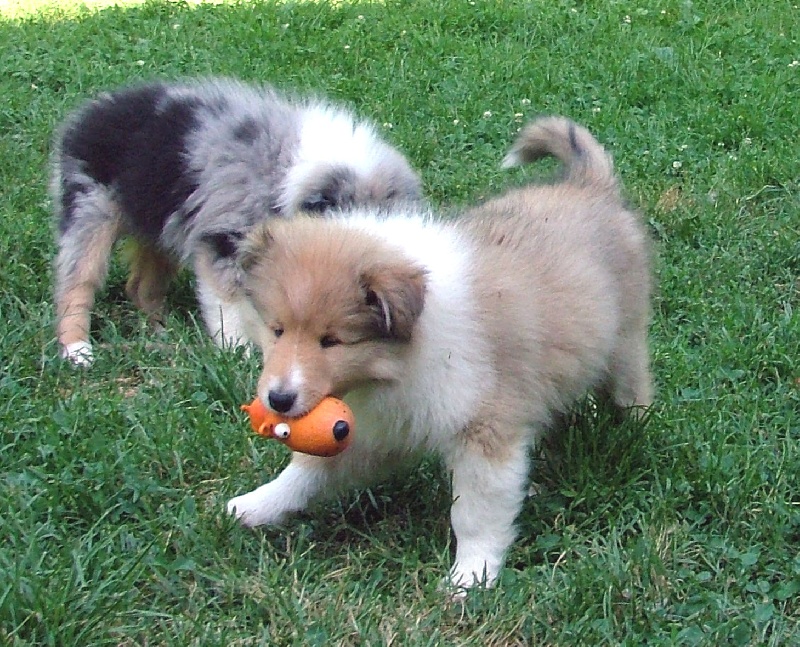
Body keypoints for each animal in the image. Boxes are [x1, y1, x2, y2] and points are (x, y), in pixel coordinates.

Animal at [50, 77, 422, 364]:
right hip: (90, 208)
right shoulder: (222, 243)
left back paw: (163, 332)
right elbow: (230, 306)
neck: (289, 175)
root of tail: (84, 115)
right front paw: (239, 352)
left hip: (157, 222)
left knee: (141, 285)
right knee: (75, 283)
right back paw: (77, 351)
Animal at [228, 116, 652, 592]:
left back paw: (632, 427)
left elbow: (474, 513)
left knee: (632, 385)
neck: (399, 359)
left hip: (626, 338)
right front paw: (255, 506)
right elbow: (305, 472)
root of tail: (588, 185)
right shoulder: (374, 428)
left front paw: (471, 577)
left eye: (332, 341)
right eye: (277, 330)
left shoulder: (484, 430)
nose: (278, 400)